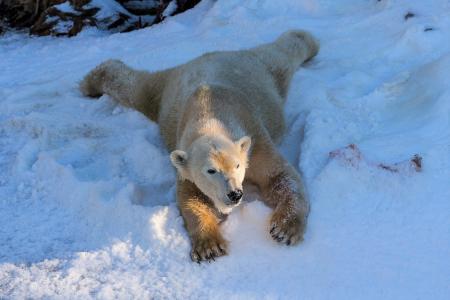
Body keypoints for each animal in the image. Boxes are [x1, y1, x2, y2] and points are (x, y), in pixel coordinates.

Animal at [81, 29, 320, 262]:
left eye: (237, 165)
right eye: (210, 171)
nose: (235, 194)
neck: (210, 115)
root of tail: (204, 56)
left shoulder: (256, 141)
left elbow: (281, 177)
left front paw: (285, 229)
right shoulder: (184, 160)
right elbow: (191, 197)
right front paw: (209, 247)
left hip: (257, 72)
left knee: (281, 56)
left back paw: (306, 40)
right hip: (168, 91)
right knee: (137, 89)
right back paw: (91, 82)